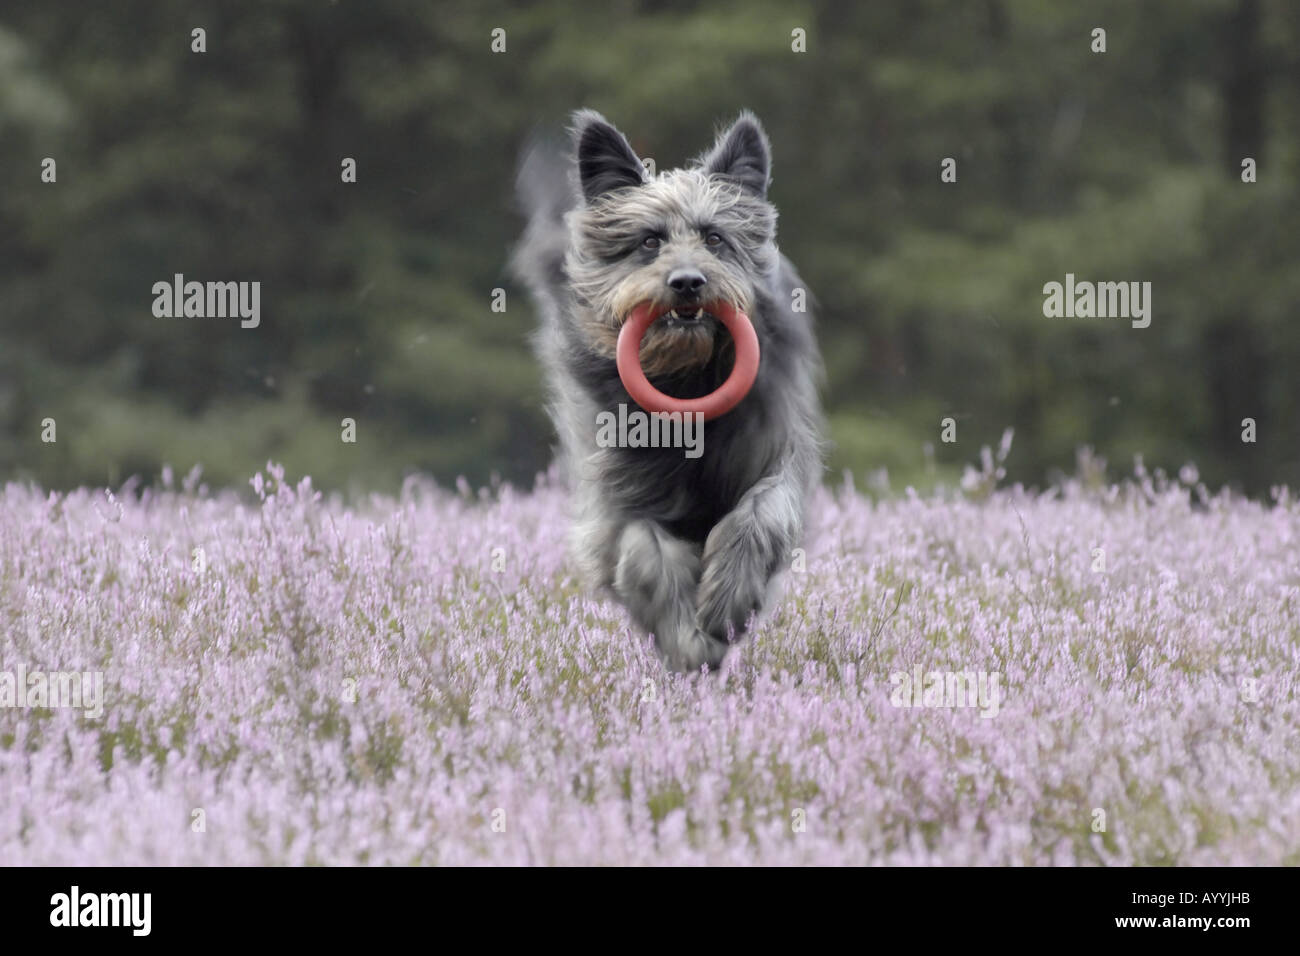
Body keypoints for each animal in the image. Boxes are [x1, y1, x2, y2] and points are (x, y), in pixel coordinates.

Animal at [509, 108, 821, 671]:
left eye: (714, 238)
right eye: (650, 241)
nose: (688, 282)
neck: (687, 380)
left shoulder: (775, 454)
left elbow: (760, 515)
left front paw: (725, 603)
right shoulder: (619, 496)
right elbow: (644, 551)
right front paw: (690, 642)